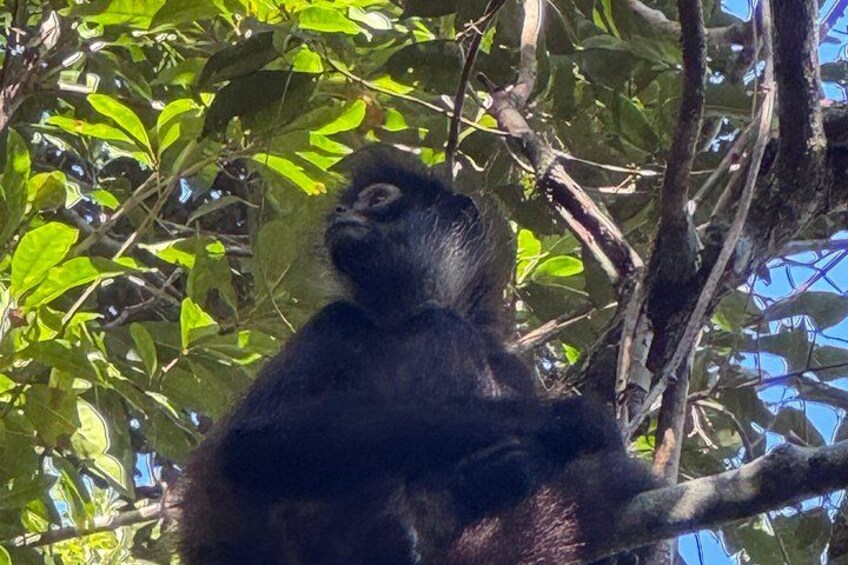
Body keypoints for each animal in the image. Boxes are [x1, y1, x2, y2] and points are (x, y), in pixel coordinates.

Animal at [179, 147, 657, 564]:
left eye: (378, 200)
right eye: (347, 206)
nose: (340, 213)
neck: (394, 316)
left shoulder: (509, 363)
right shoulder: (335, 319)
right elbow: (253, 444)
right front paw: (566, 421)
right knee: (441, 327)